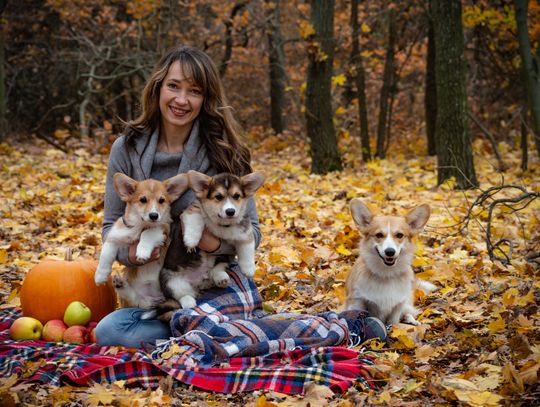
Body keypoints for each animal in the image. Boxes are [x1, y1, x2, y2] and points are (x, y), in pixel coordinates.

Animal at [96, 173, 189, 310]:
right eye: (143, 200)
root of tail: (154, 298)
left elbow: (147, 234)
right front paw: (100, 275)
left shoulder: (162, 229)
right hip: (138, 300)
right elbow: (106, 254)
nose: (154, 215)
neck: (139, 225)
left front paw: (142, 252)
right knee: (134, 298)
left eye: (161, 200)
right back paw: (120, 284)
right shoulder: (115, 236)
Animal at [156, 171, 266, 310]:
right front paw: (191, 241)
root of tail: (199, 281)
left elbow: (247, 248)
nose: (230, 211)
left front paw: (249, 269)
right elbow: (196, 222)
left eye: (237, 196)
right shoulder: (192, 212)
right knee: (181, 295)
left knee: (216, 270)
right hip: (169, 280)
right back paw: (189, 302)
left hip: (223, 258)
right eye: (218, 197)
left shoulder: (245, 231)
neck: (221, 224)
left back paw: (221, 278)